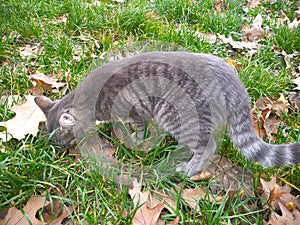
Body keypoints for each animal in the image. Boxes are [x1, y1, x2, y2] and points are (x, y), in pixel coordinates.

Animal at [35, 51, 300, 177]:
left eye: (61, 139)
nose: (57, 151)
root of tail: (234, 80)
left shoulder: (137, 109)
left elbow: (139, 128)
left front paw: (134, 139)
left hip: (178, 118)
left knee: (208, 146)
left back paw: (191, 168)